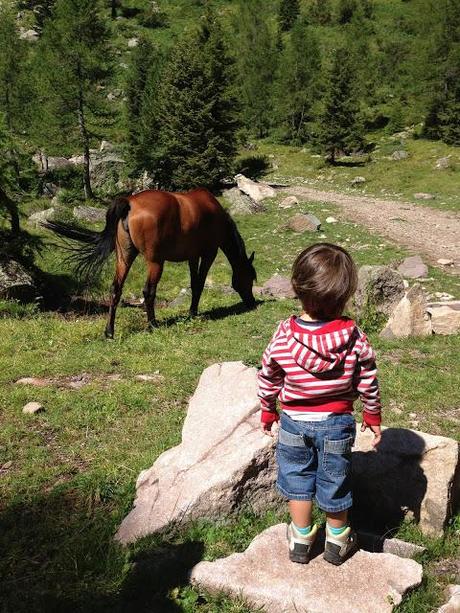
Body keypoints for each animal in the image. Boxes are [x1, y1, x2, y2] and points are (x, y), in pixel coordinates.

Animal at [44, 188, 255, 338]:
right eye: (251, 277)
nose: (252, 303)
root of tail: (130, 202)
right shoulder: (208, 254)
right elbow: (199, 284)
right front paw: (193, 312)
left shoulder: (193, 257)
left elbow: (194, 283)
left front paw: (192, 312)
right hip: (155, 262)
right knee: (148, 291)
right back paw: (153, 324)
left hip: (124, 258)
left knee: (116, 289)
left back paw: (109, 331)